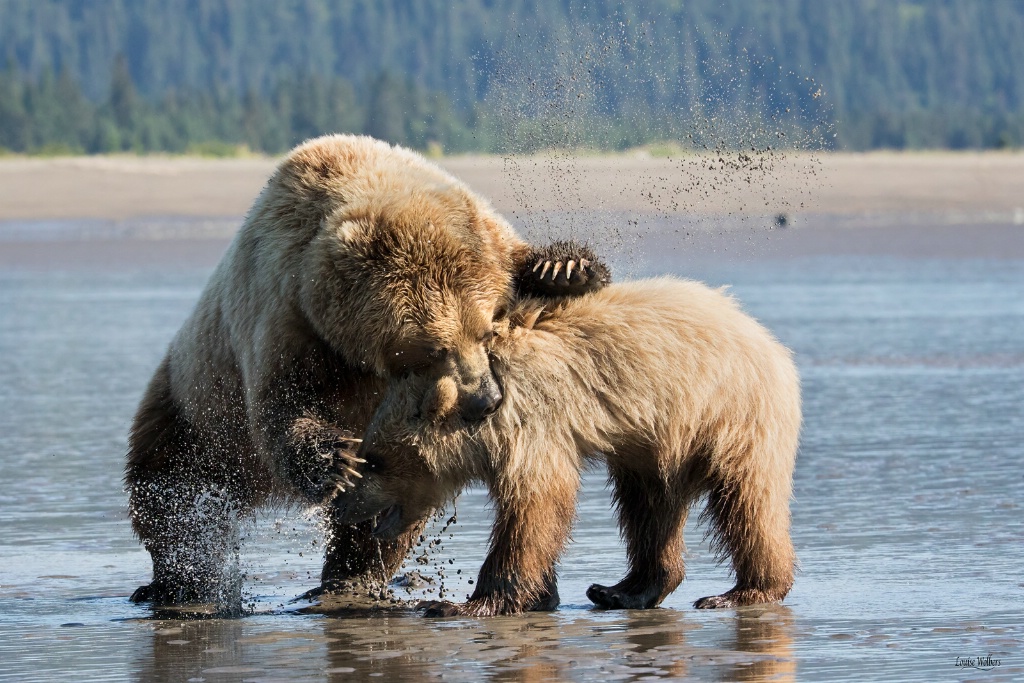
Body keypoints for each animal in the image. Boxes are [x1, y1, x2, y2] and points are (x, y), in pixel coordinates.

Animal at [126, 135, 606, 610]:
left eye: (488, 328)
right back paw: (181, 580)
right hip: (197, 411)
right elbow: (282, 405)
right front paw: (335, 459)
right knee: (171, 492)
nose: (486, 401)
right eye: (435, 348)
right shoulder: (289, 316)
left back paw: (351, 576)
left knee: (385, 503)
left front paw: (564, 269)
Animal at [339, 274, 802, 618]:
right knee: (651, 509)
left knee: (747, 501)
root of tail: (766, 338)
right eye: (365, 452)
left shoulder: (533, 424)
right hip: (655, 444)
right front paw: (543, 594)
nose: (343, 505)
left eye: (375, 460)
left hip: (728, 414)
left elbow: (534, 507)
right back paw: (622, 590)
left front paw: (462, 602)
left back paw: (745, 592)